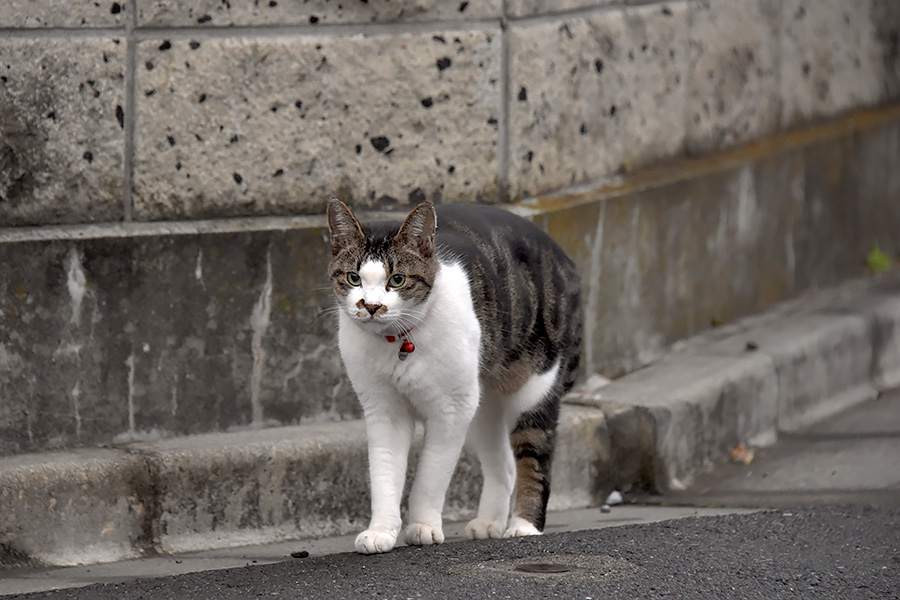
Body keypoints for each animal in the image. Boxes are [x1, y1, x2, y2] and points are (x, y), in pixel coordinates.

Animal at [326, 199, 580, 556]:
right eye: (353, 278)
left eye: (397, 280)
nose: (372, 306)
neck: (399, 341)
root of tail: (563, 257)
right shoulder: (382, 409)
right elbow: (384, 471)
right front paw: (381, 532)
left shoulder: (452, 409)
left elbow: (431, 474)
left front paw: (422, 526)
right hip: (483, 404)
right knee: (504, 464)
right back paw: (489, 523)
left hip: (533, 383)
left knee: (533, 458)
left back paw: (524, 526)